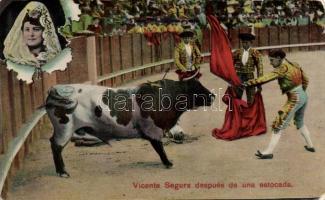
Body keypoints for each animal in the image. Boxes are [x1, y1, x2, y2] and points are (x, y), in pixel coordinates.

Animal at [45, 78, 213, 177]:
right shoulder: (153, 131)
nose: (213, 96)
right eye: (196, 87)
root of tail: (55, 90)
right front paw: (168, 163)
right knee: (56, 146)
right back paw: (62, 172)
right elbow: (160, 149)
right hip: (64, 129)